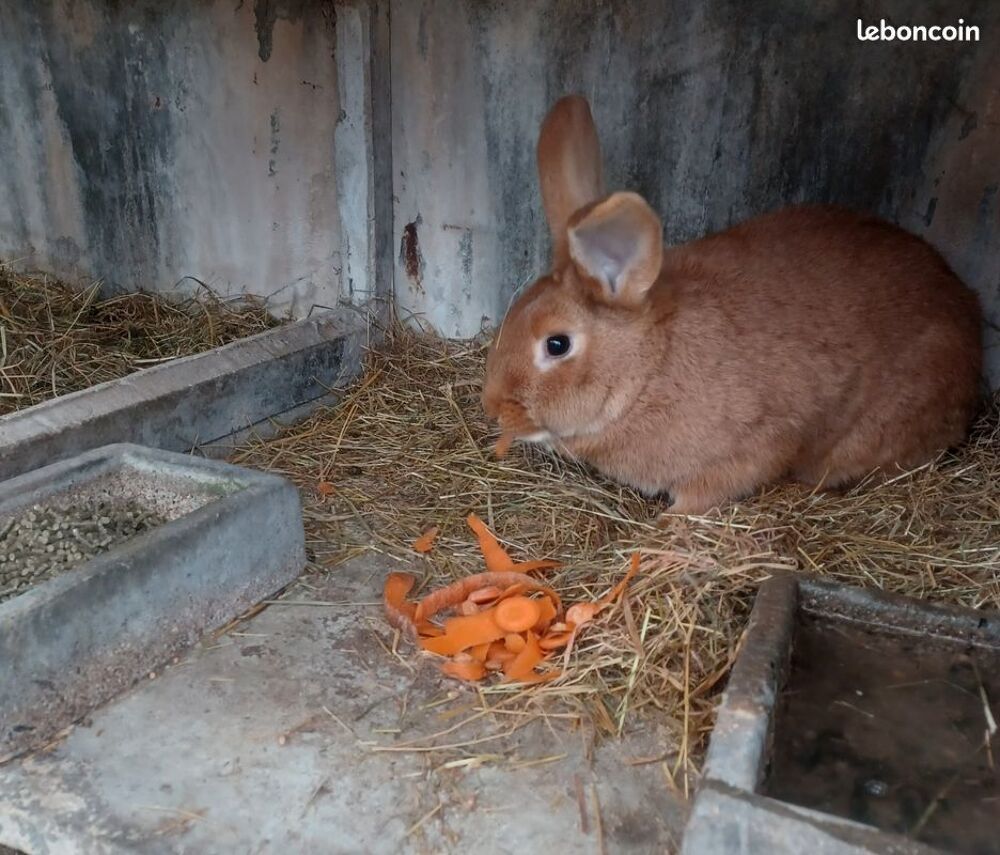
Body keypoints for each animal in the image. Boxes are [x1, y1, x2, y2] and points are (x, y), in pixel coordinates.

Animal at [481, 95, 983, 514]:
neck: (648, 371)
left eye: (557, 344)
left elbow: (707, 492)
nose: (493, 406)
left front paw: (668, 528)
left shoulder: (752, 446)